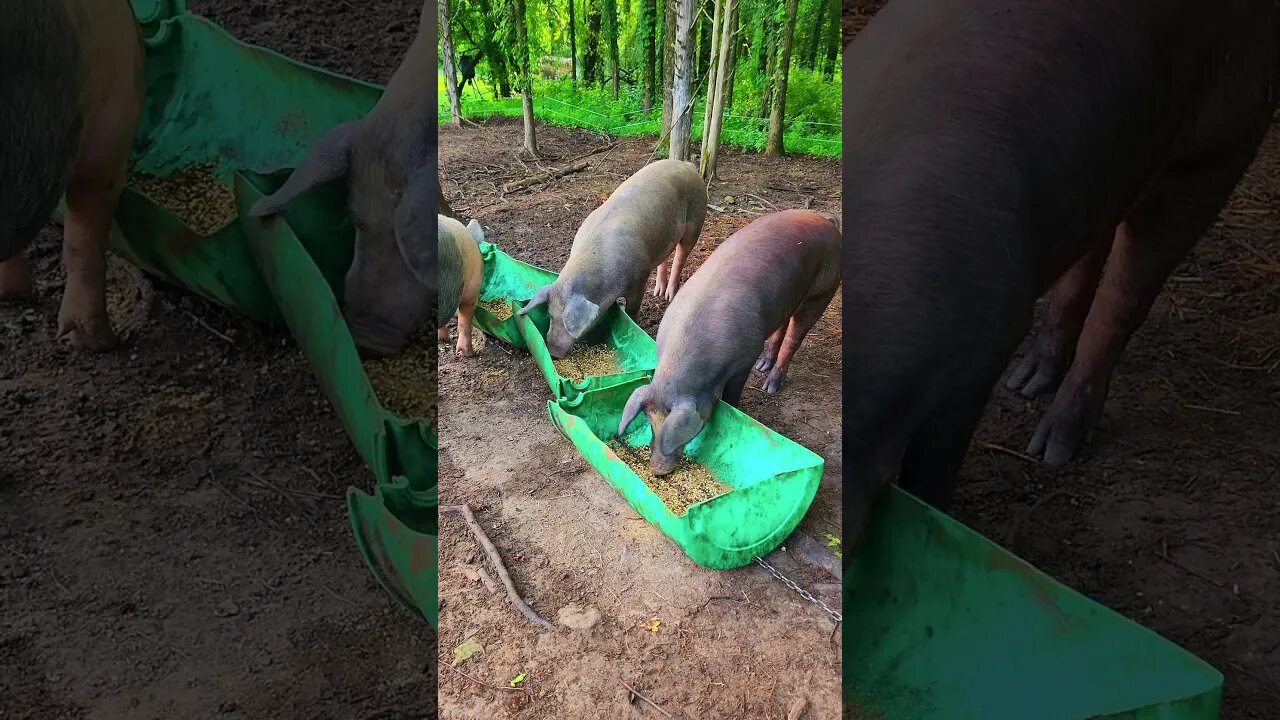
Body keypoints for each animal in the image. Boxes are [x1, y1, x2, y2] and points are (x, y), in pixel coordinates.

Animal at [514, 158, 706, 356]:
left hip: (696, 219)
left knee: (681, 255)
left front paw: (633, 323)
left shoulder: (641, 277)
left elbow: (632, 310)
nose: (552, 351)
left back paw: (669, 296)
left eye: (567, 322)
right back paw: (658, 292)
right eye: (550, 315)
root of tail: (687, 165)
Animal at [616, 210, 839, 474]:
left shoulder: (744, 361)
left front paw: (733, 408)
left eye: (684, 437)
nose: (658, 470)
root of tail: (827, 222)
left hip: (822, 291)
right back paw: (763, 367)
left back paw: (770, 386)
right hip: (787, 299)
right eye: (650, 424)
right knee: (782, 326)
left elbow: (733, 395)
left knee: (794, 337)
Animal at [839, 0, 1280, 556]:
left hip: (1221, 142)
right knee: (1092, 249)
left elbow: (932, 476)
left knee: (1126, 296)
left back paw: (1051, 449)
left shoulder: (978, 355)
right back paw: (1027, 383)